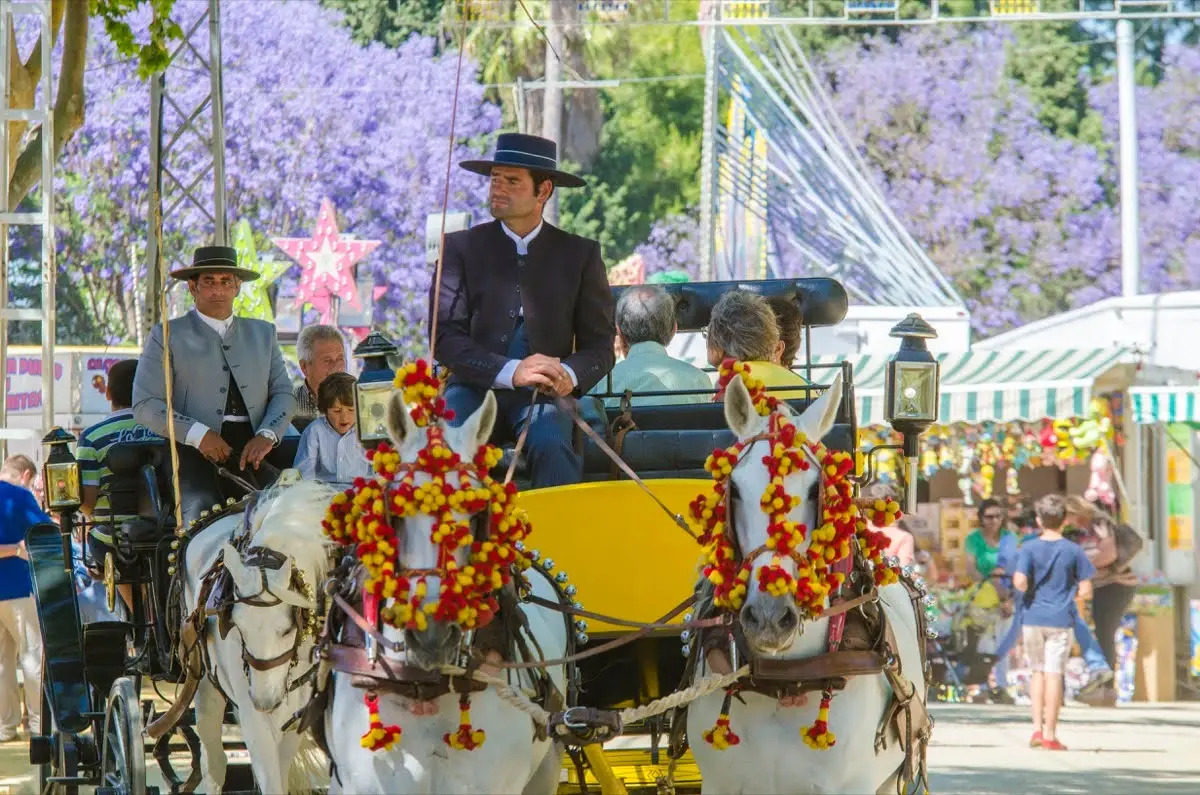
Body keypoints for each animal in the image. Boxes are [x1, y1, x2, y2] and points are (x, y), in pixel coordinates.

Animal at [181, 475, 335, 795]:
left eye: (287, 629)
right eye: (238, 628)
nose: (264, 701)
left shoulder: (296, 714)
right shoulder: (255, 717)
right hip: (205, 685)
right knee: (213, 762)